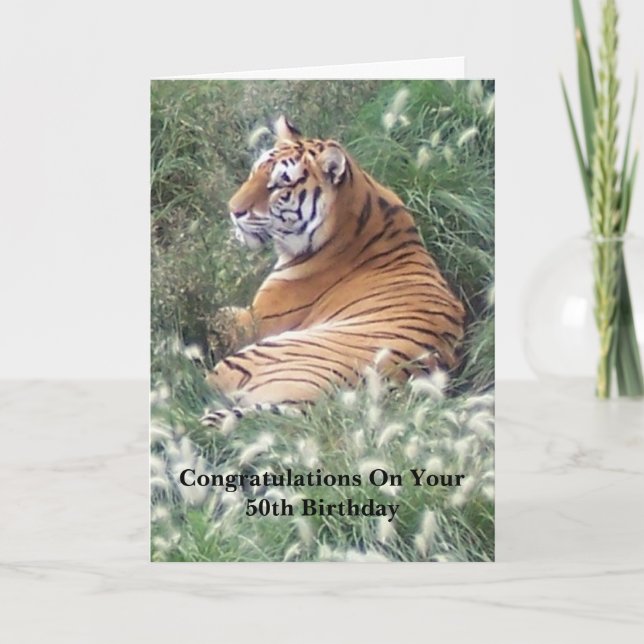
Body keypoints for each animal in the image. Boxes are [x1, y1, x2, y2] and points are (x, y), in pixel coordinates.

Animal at [200, 116, 465, 426]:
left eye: (278, 186)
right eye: (254, 173)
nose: (233, 210)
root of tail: (318, 407)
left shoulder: (255, 321)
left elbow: (216, 318)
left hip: (252, 356)